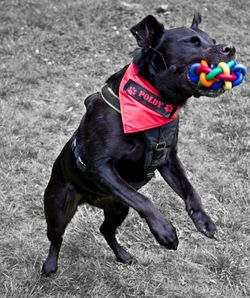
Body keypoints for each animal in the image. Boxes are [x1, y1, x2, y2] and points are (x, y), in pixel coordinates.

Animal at [41, 13, 236, 274]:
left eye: (212, 40)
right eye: (191, 42)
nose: (231, 48)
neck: (150, 103)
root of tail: (90, 201)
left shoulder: (168, 159)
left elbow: (190, 190)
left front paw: (204, 220)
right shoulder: (99, 167)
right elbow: (144, 200)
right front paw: (165, 231)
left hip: (118, 208)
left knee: (105, 230)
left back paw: (123, 254)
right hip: (59, 207)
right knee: (56, 237)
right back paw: (50, 265)